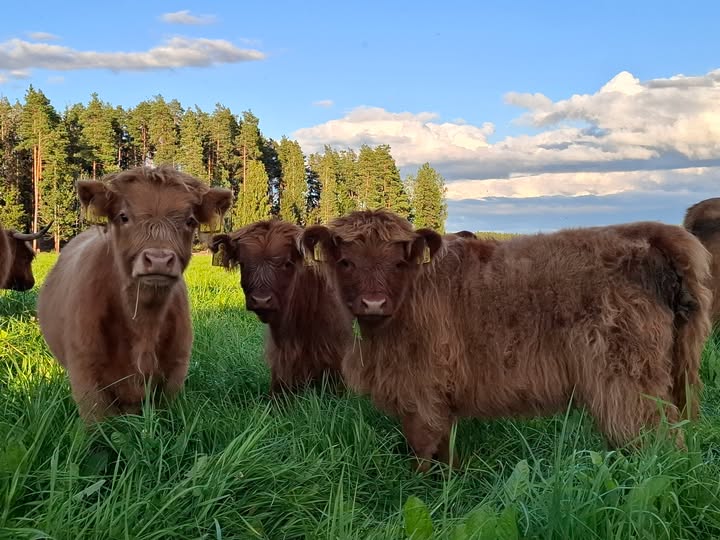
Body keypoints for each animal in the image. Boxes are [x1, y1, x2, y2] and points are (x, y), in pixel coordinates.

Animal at [37, 166, 232, 423]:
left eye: (190, 220)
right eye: (123, 216)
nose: (159, 259)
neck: (143, 323)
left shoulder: (176, 369)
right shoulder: (84, 373)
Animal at [302, 209, 712, 471]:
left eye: (398, 263)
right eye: (346, 262)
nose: (373, 302)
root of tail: (649, 234)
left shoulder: (421, 388)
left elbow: (422, 447)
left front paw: (420, 489)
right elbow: (444, 445)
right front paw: (453, 480)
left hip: (629, 381)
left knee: (658, 440)